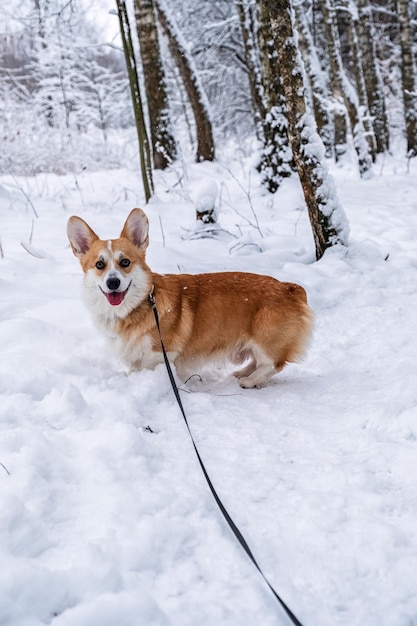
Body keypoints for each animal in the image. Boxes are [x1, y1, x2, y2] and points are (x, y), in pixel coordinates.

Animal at [67, 208, 312, 386]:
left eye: (125, 262)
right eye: (100, 265)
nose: (113, 283)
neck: (137, 305)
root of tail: (290, 288)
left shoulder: (162, 355)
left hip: (265, 338)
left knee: (272, 363)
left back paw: (250, 381)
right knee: (258, 361)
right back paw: (242, 373)